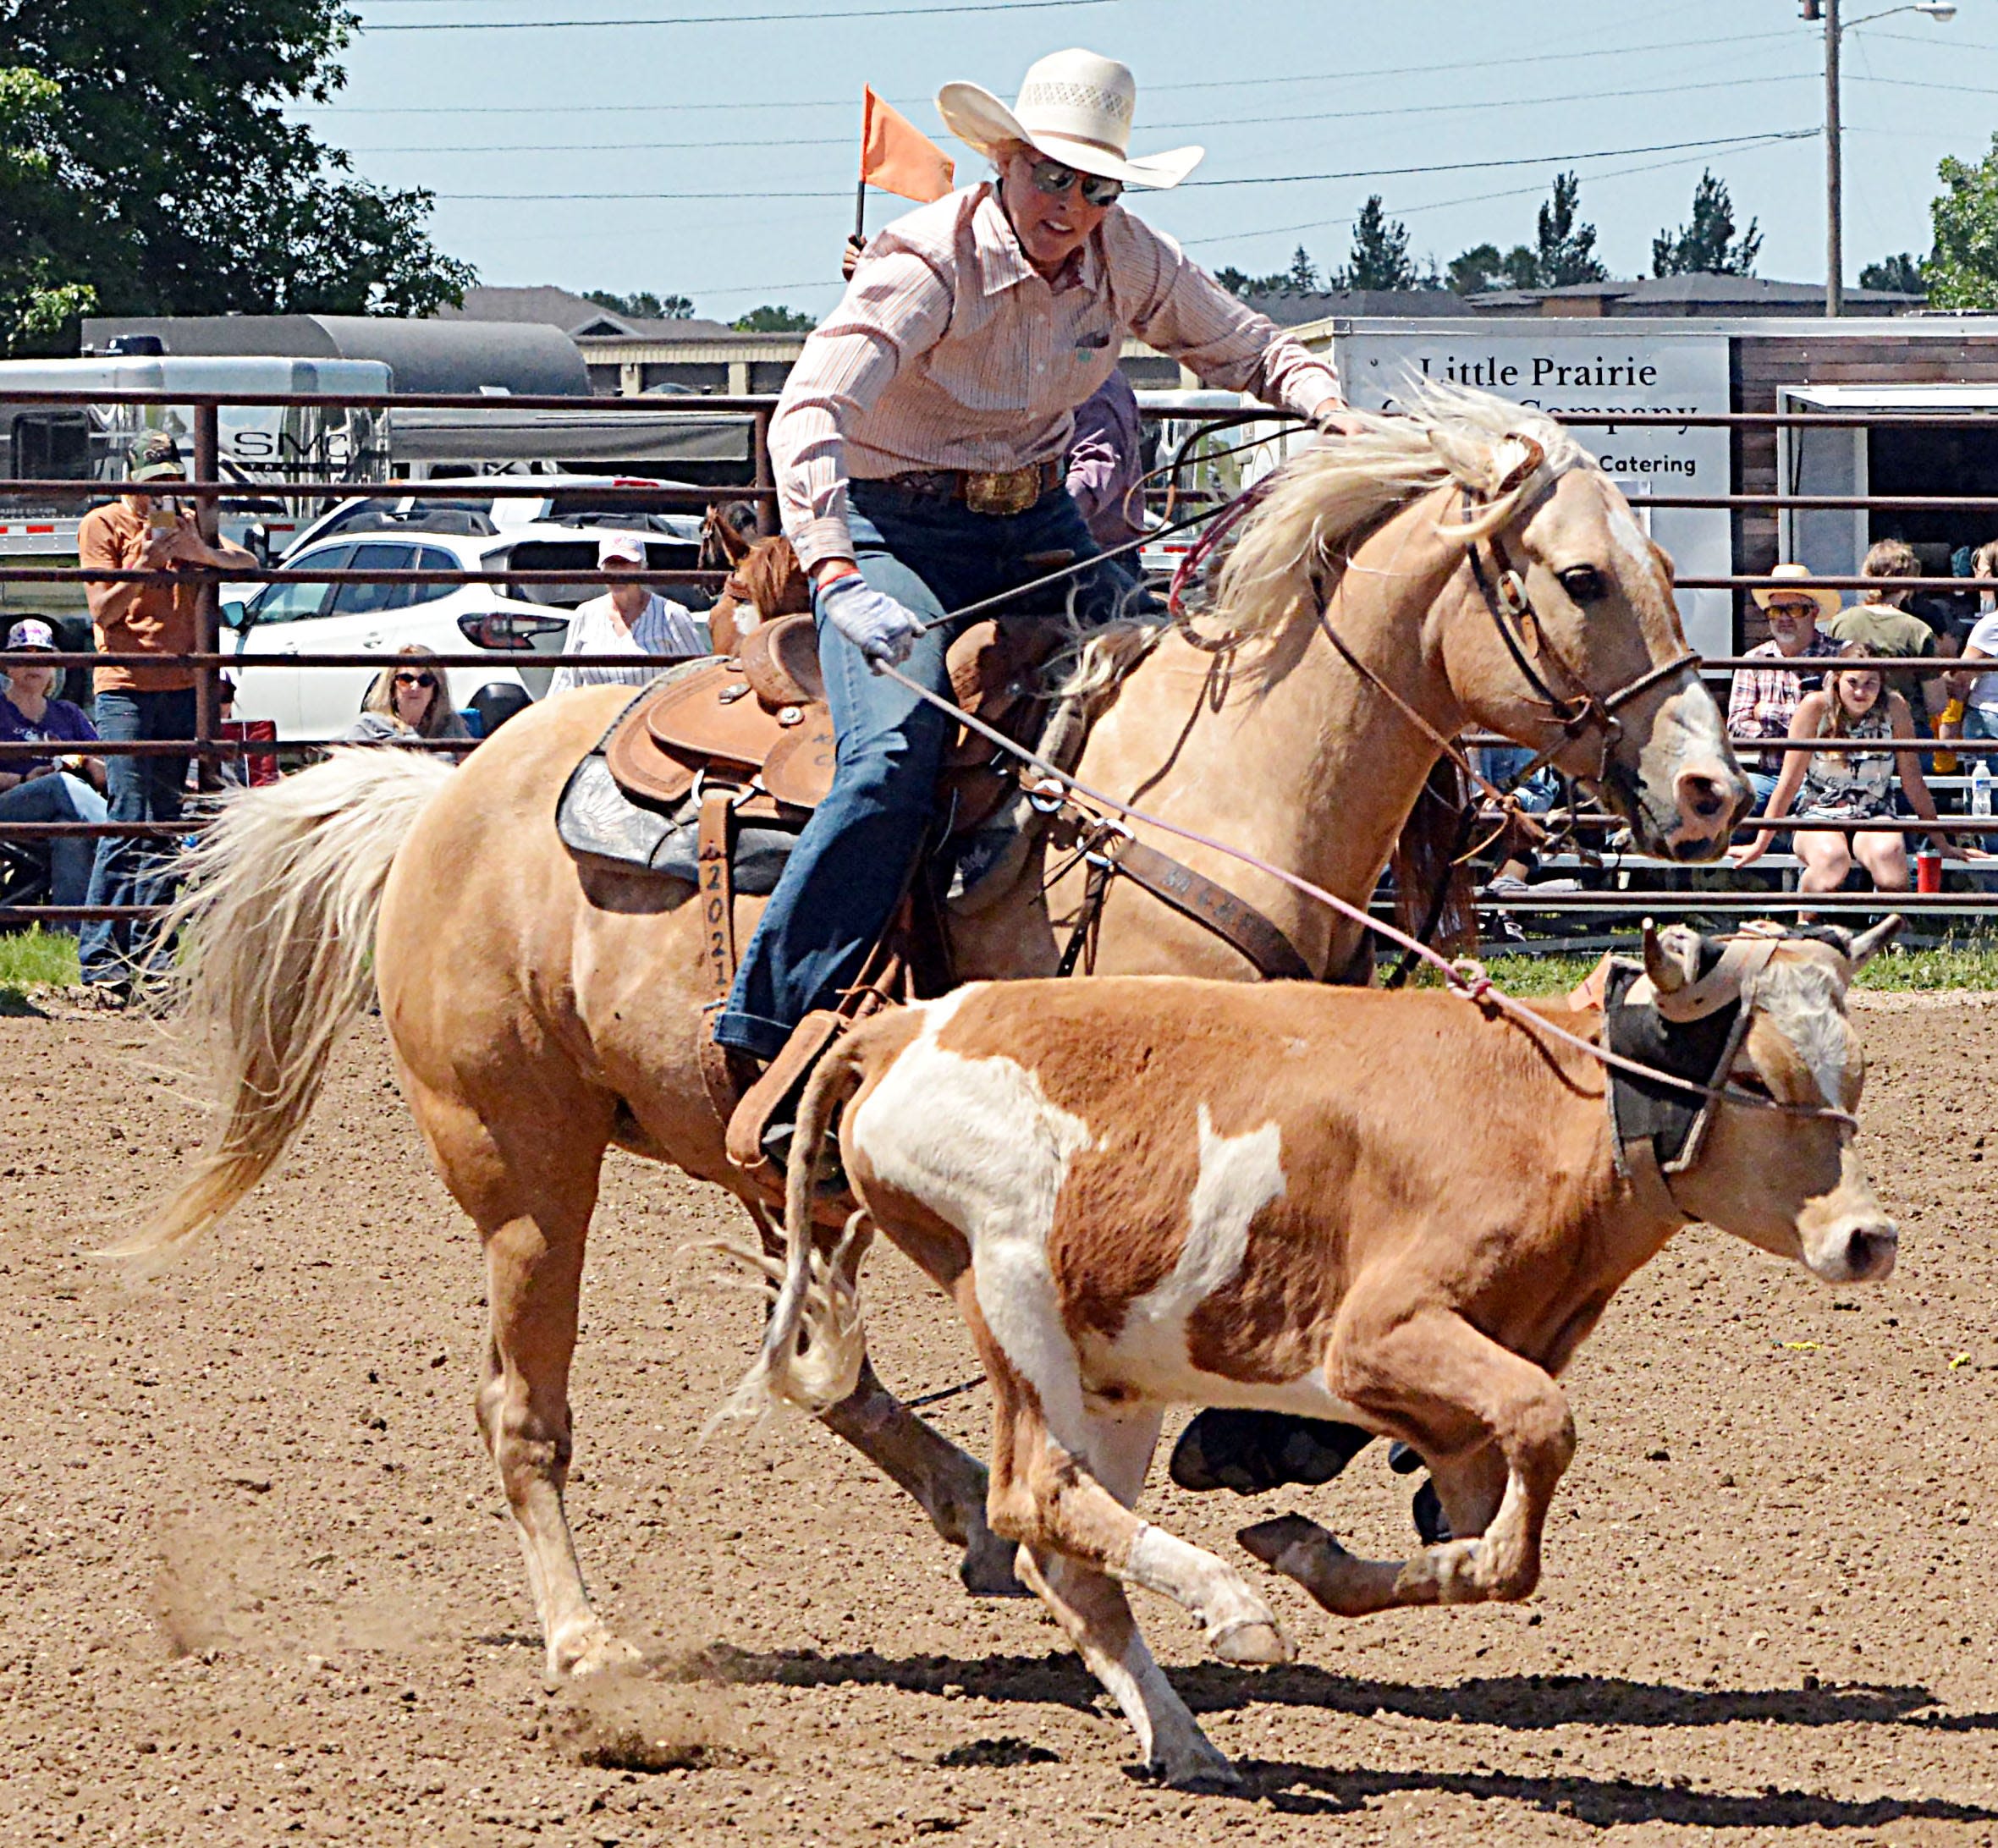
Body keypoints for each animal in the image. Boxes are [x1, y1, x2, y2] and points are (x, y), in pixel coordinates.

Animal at [136, 381, 1750, 1678]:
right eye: (1581, 577)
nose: (1712, 793)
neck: (1204, 800)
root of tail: (439, 797)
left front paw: (1298, 1454)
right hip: (522, 1166)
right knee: (525, 1407)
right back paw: (590, 1638)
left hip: (759, 1164)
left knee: (822, 1368)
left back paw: (973, 1521)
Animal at [723, 922, 1902, 1790]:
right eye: (1758, 1078)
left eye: (1852, 1076)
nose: (1867, 1238)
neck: (1540, 1108)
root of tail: (906, 1025)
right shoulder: (1374, 1341)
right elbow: (1539, 1440)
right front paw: (1289, 1566)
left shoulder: (1454, 1416)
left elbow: (1490, 1549)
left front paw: (1309, 1551)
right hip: (1014, 1294)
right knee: (1028, 1495)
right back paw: (1231, 1609)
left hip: (1115, 1374)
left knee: (1063, 1555)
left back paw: (1190, 1744)